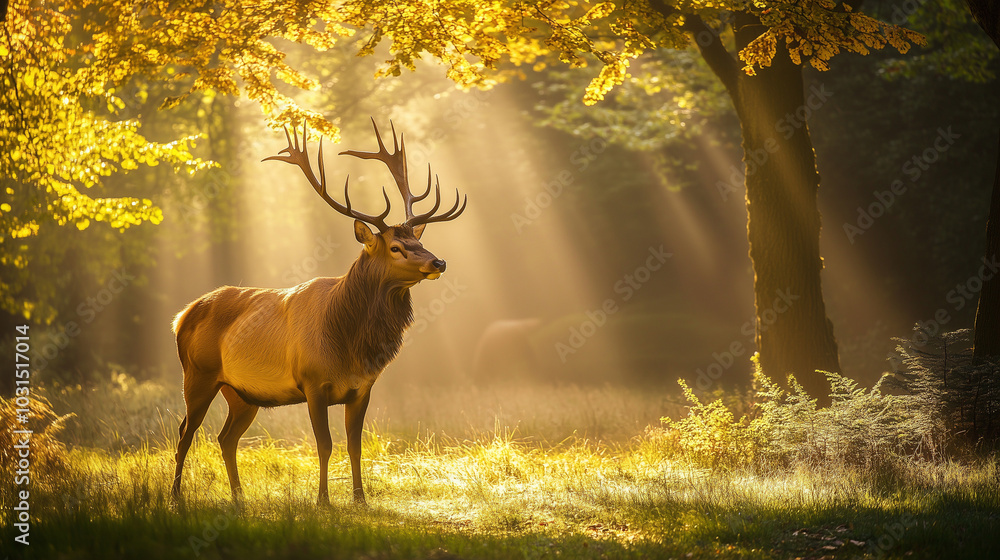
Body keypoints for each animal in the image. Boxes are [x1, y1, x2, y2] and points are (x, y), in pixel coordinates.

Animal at [170, 118, 466, 506]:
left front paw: (360, 499)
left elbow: (355, 446)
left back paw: (238, 498)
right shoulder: (312, 382)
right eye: (396, 247)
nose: (439, 262)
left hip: (241, 393)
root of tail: (181, 316)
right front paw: (323, 500)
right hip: (197, 374)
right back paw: (176, 496)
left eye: (419, 240)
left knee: (226, 437)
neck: (349, 344)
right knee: (184, 433)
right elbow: (324, 445)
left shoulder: (362, 388)